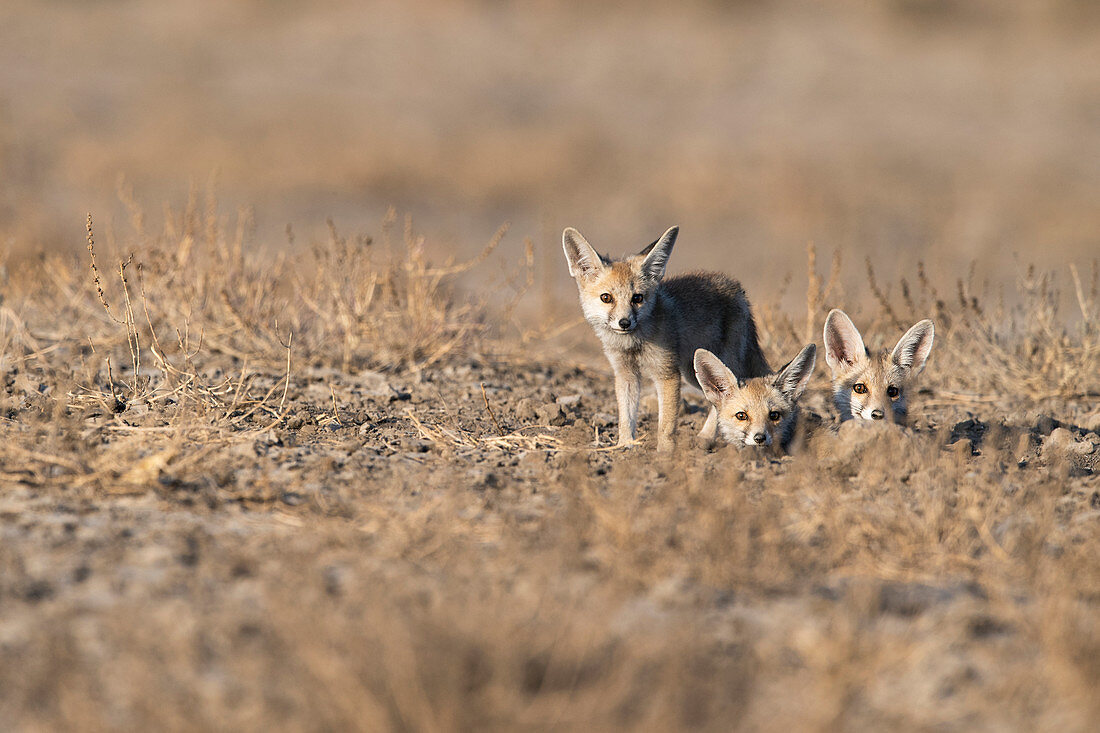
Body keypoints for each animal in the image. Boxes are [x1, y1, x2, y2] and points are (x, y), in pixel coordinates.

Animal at [563, 225, 770, 449]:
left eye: (637, 298)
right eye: (606, 298)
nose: (624, 323)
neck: (635, 344)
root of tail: (738, 288)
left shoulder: (667, 374)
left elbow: (666, 425)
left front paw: (664, 452)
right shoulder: (625, 373)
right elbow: (626, 417)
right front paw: (625, 445)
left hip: (712, 368)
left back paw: (706, 438)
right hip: (693, 373)